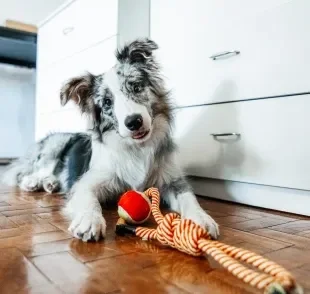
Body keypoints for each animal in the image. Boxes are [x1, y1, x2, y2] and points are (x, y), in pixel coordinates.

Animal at [1, 38, 218, 241]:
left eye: (136, 87)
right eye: (106, 102)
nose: (134, 122)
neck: (136, 147)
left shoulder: (172, 180)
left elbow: (190, 198)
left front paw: (201, 219)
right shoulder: (87, 182)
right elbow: (89, 200)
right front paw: (89, 220)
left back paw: (50, 184)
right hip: (55, 146)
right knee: (22, 173)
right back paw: (33, 182)